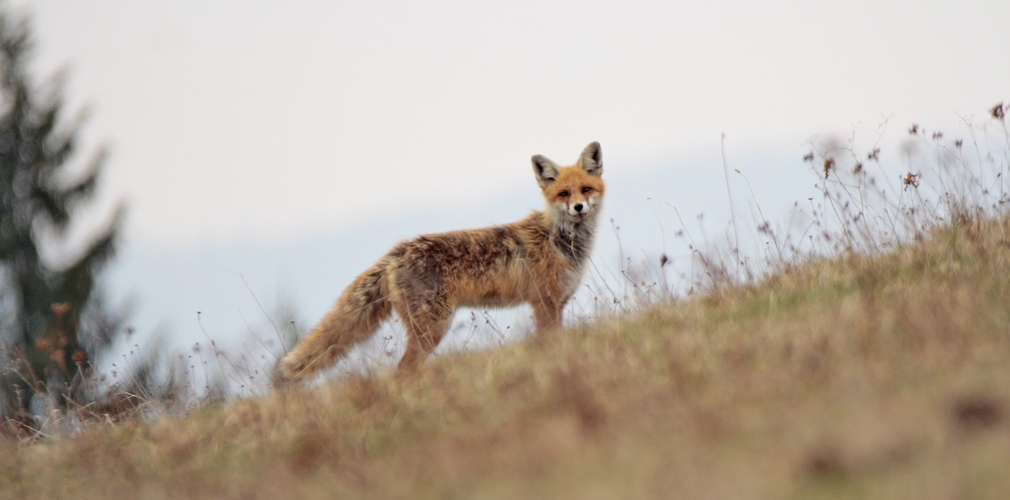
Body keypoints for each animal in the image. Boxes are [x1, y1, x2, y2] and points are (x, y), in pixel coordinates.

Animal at [272, 141, 601, 387]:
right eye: (563, 193)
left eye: (586, 189)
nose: (578, 207)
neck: (560, 239)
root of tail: (397, 251)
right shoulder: (544, 302)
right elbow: (549, 344)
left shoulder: (556, 303)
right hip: (433, 329)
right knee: (402, 370)